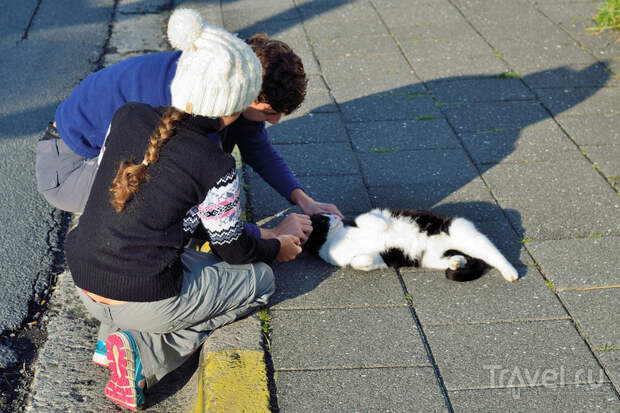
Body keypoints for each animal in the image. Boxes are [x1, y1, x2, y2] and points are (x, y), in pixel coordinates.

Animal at [304, 208, 520, 282]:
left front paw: (382, 226)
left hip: (464, 234)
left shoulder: (360, 218)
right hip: (428, 259)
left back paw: (510, 273)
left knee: (494, 254)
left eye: (328, 214)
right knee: (451, 259)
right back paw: (456, 261)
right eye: (323, 218)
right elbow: (360, 261)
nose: (335, 216)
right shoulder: (378, 257)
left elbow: (367, 218)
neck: (336, 239)